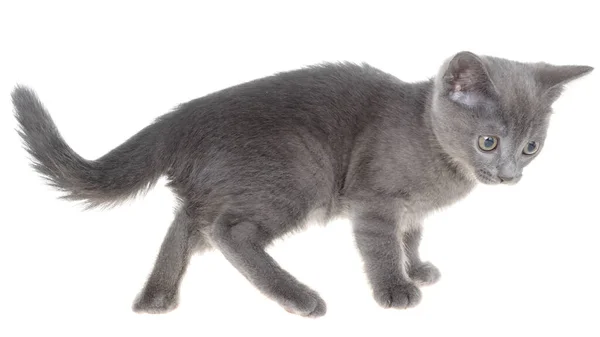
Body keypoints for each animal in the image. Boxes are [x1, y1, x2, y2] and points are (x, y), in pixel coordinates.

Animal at [11, 51, 592, 316]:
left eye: (531, 147)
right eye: (489, 142)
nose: (509, 176)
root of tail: (182, 118)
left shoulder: (410, 212)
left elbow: (411, 235)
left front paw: (418, 267)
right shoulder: (374, 201)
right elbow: (383, 247)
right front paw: (396, 288)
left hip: (222, 182)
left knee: (187, 221)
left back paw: (156, 297)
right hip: (300, 170)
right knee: (229, 232)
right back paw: (299, 297)